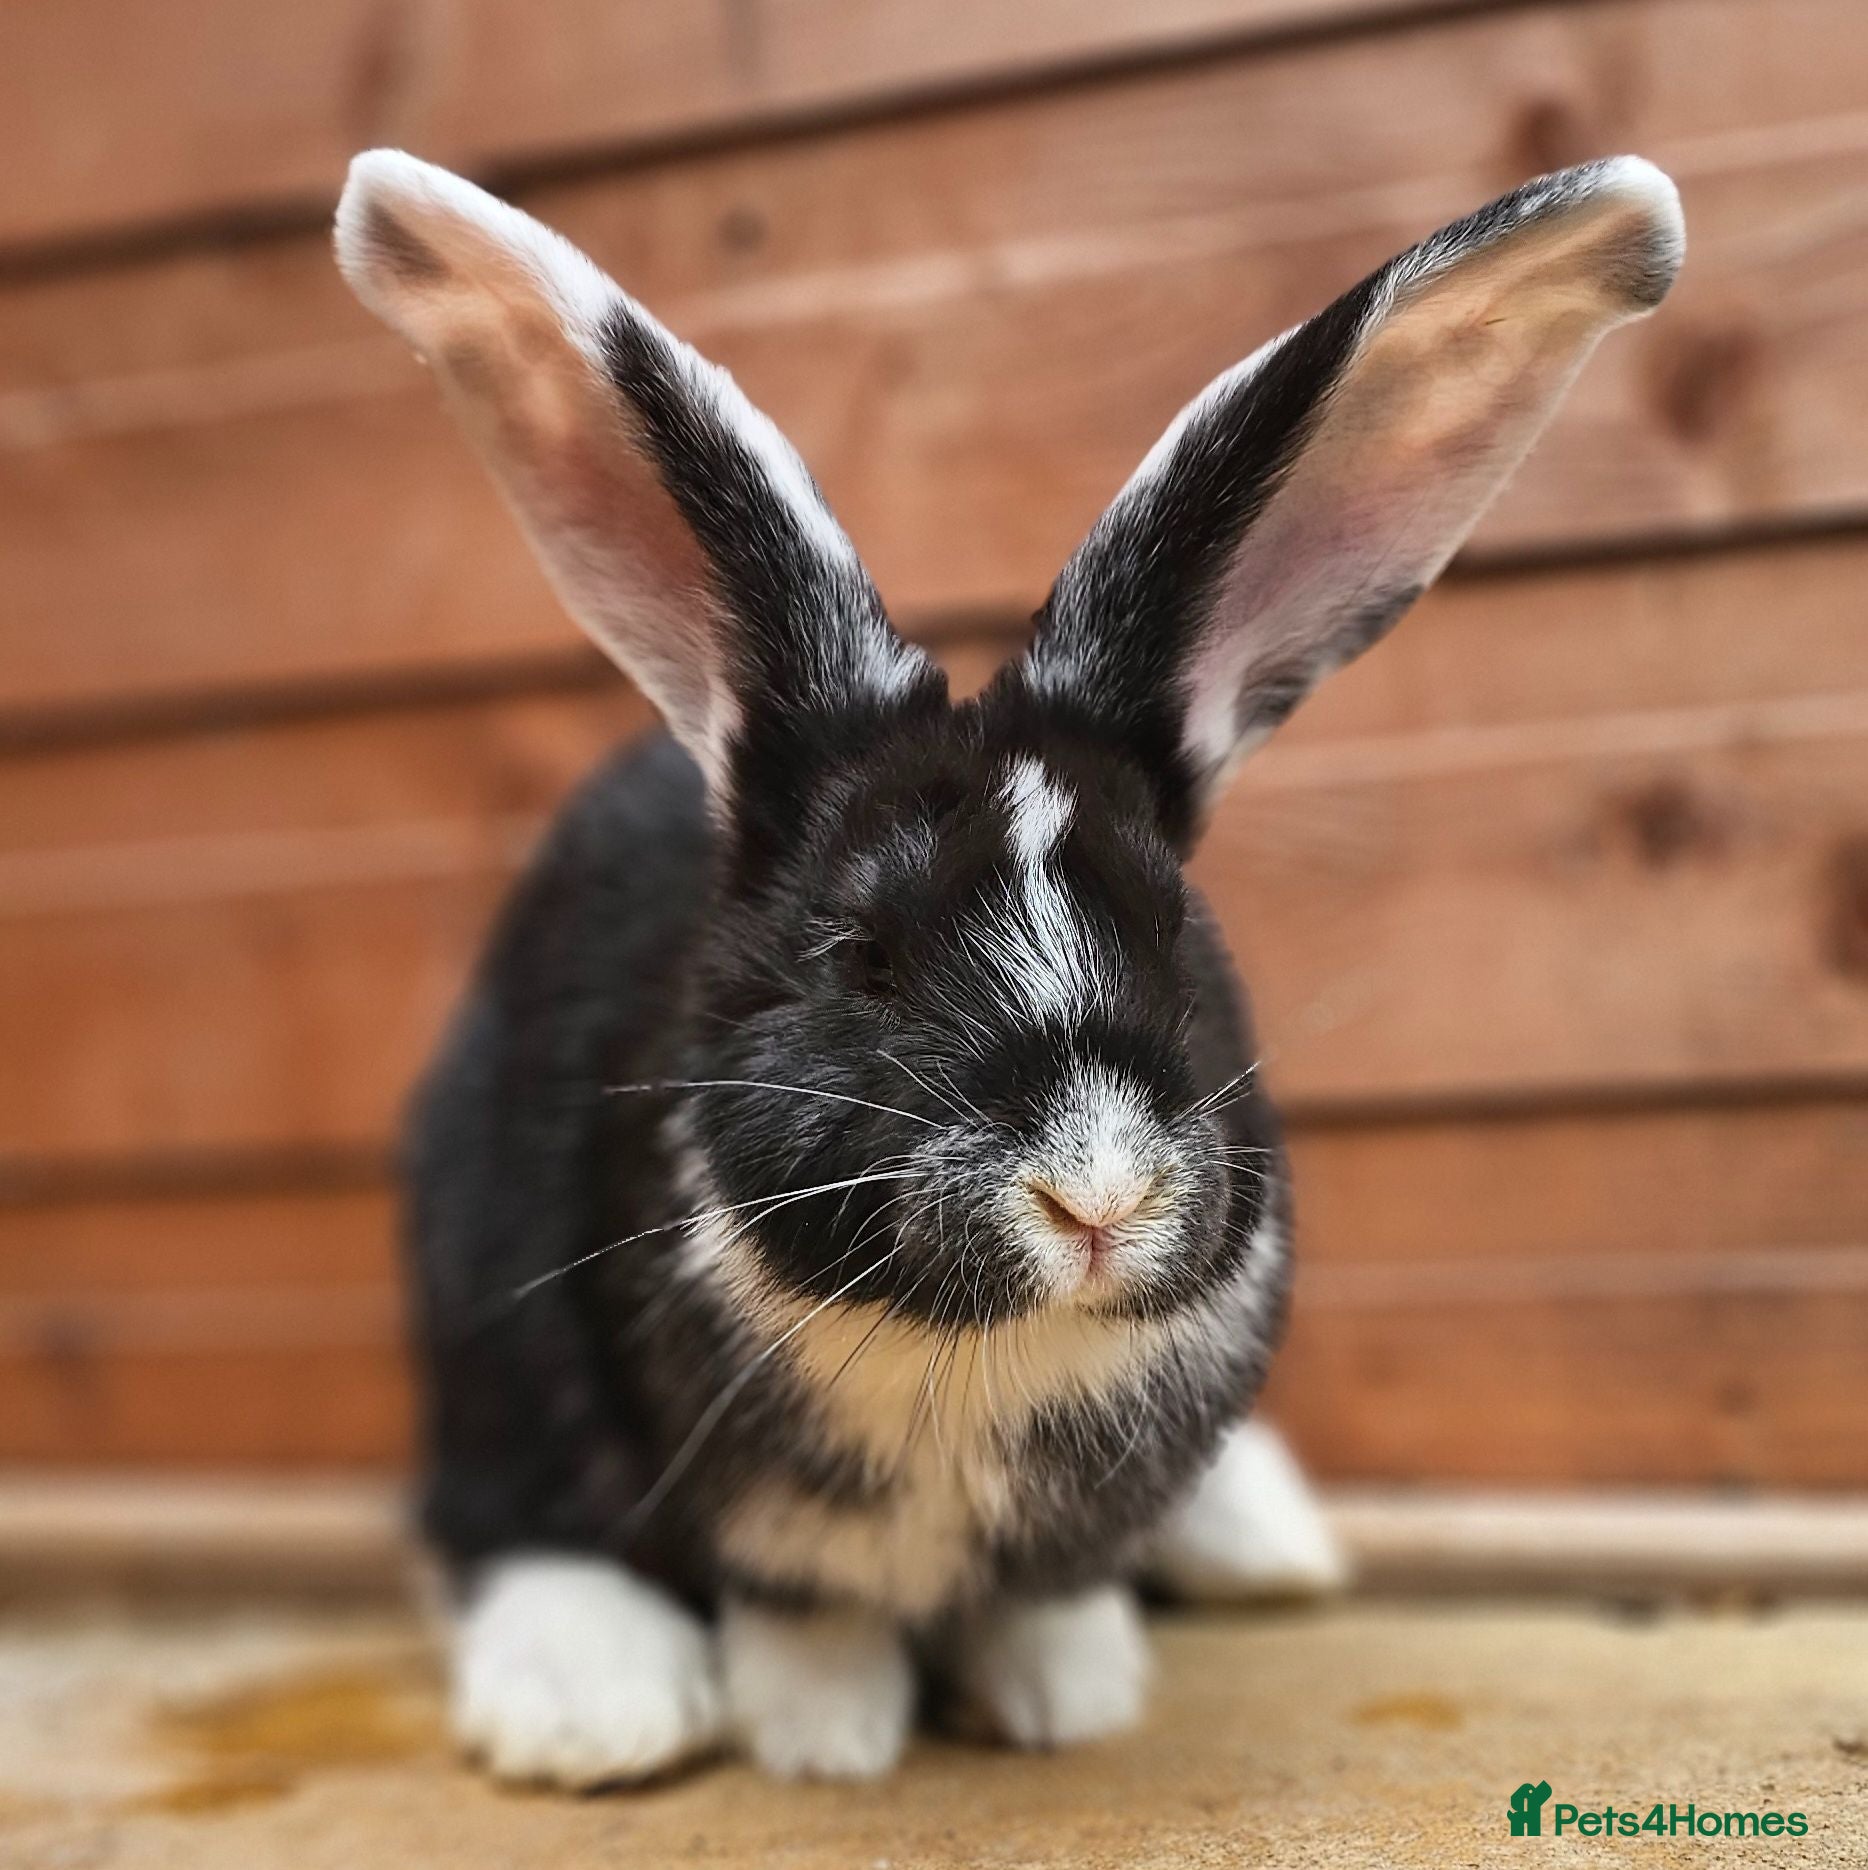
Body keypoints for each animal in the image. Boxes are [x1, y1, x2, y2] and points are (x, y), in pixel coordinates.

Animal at [333, 148, 1682, 1786]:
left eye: (1173, 932)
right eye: (857, 952)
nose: (1096, 1196)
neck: (977, 1364)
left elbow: (1044, 1597)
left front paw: (1064, 1692)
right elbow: (797, 1608)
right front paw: (823, 1736)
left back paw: (1264, 1547)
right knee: (494, 1499)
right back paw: (592, 1712)